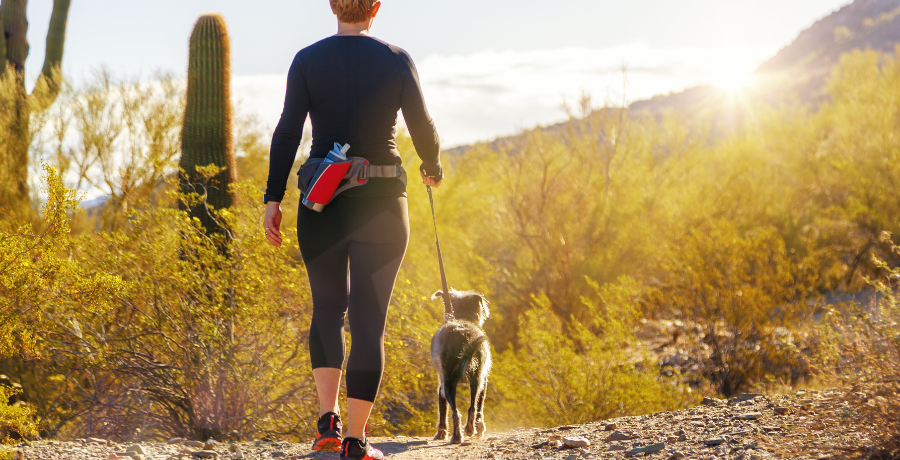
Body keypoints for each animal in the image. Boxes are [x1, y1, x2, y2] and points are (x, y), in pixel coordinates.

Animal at [428, 290, 492, 444]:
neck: (462, 317)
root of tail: (464, 335)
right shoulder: (483, 381)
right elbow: (479, 406)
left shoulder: (441, 386)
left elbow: (442, 409)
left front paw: (441, 433)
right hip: (476, 379)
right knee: (472, 408)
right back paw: (468, 431)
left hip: (450, 382)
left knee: (456, 411)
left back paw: (458, 436)